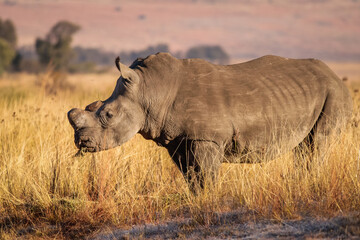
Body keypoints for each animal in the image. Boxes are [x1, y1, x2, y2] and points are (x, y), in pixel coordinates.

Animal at [67, 52, 352, 191]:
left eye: (108, 115)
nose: (81, 141)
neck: (150, 89)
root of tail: (335, 75)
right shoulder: (178, 140)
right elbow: (191, 176)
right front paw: (197, 199)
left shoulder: (207, 138)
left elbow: (206, 175)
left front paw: (209, 200)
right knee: (305, 147)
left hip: (334, 93)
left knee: (317, 144)